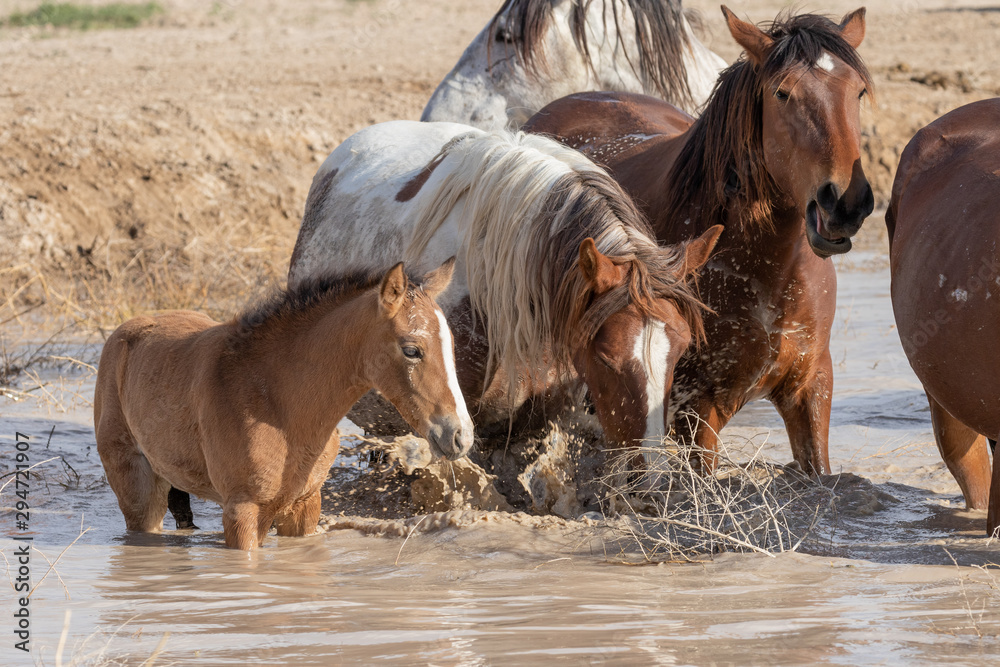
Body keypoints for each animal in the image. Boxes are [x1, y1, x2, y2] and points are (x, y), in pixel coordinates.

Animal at [94, 261, 471, 550]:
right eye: (411, 350)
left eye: (451, 345)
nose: (460, 436)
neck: (279, 405)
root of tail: (123, 332)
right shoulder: (242, 511)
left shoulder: (305, 505)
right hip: (137, 489)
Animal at [524, 7, 874, 475]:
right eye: (783, 93)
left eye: (857, 92)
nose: (845, 204)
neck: (768, 270)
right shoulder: (697, 411)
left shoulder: (811, 389)